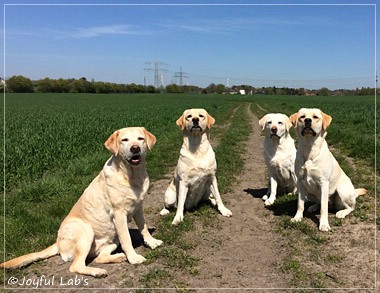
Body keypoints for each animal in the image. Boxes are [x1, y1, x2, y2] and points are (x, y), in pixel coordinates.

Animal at [0, 126, 162, 276]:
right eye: (125, 140)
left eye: (140, 139)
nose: (135, 148)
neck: (132, 176)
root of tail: (57, 242)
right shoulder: (119, 214)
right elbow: (127, 239)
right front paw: (134, 258)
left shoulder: (138, 207)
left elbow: (143, 227)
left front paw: (152, 242)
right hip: (86, 230)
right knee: (76, 266)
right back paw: (98, 271)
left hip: (112, 239)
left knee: (99, 257)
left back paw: (118, 257)